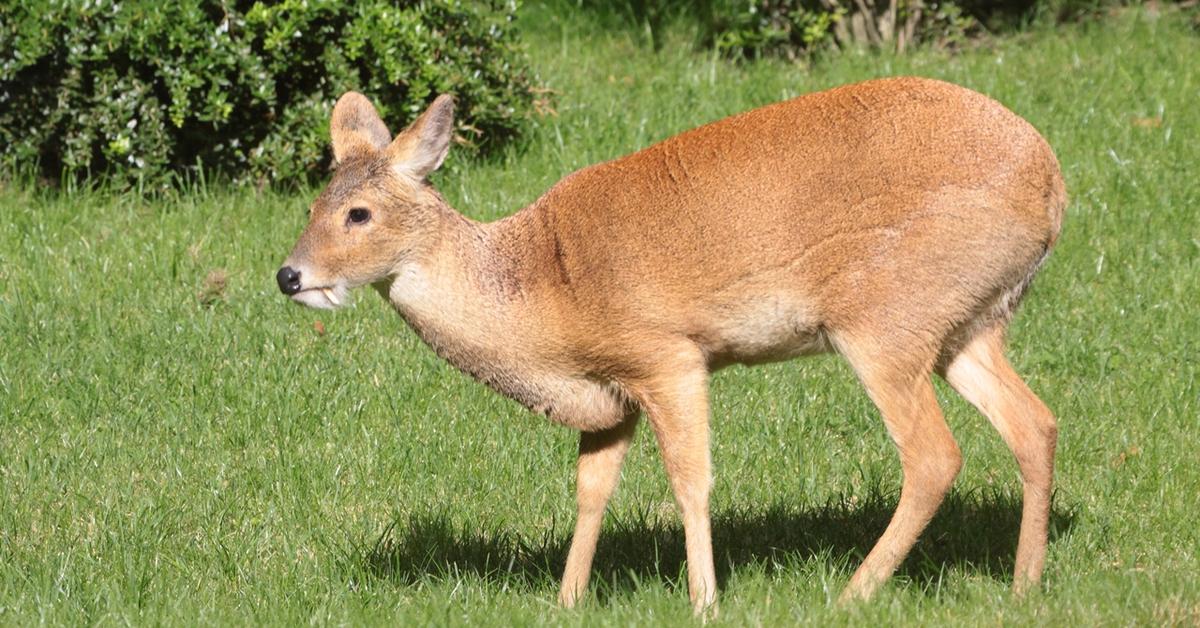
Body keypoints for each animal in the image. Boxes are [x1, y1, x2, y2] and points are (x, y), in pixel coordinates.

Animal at [276, 78, 1065, 614]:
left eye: (358, 213)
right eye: (311, 204)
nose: (289, 275)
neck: (540, 285)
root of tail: (1053, 184)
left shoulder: (668, 355)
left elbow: (692, 480)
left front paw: (704, 601)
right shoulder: (612, 390)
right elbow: (591, 490)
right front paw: (567, 600)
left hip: (883, 319)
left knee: (934, 455)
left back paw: (851, 595)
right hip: (966, 326)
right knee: (1034, 422)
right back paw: (1024, 586)